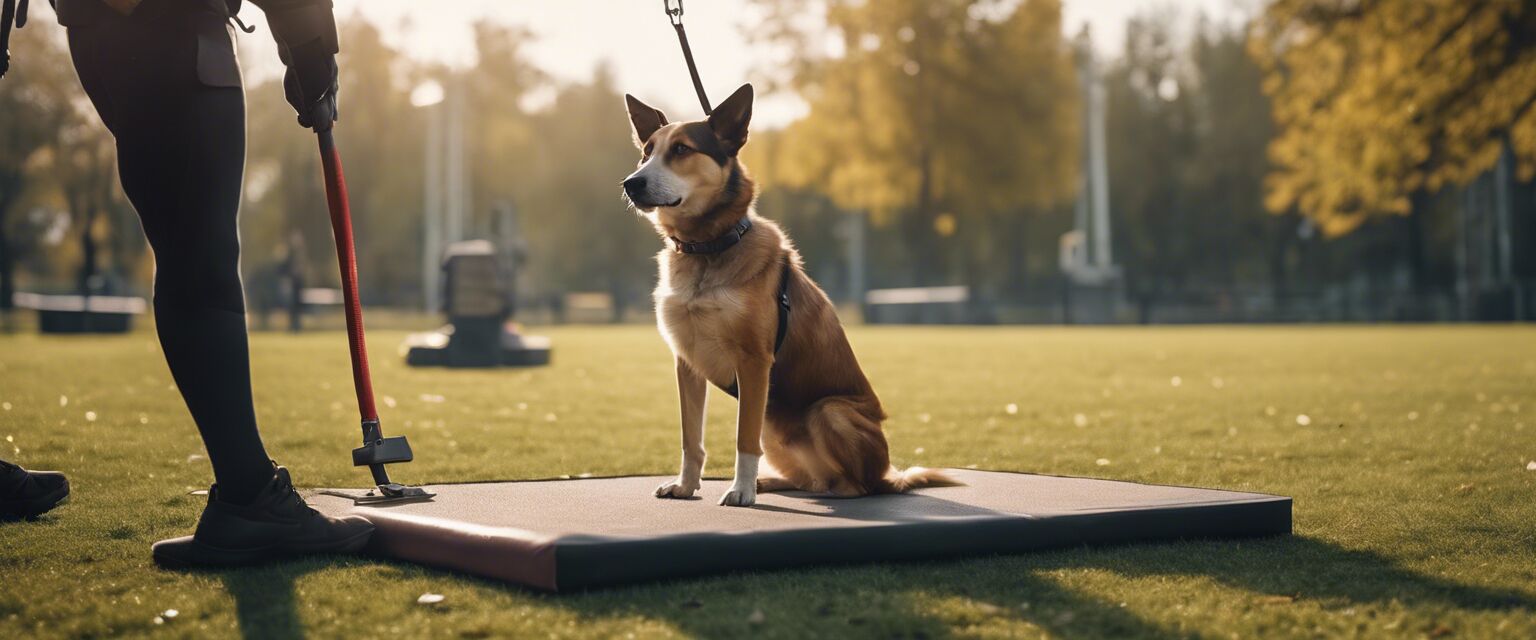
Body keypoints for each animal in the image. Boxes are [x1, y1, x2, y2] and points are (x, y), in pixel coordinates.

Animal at [617, 84, 952, 506]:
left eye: (681, 150)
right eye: (646, 152)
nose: (631, 183)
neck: (707, 249)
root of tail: (888, 474)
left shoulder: (754, 362)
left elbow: (743, 440)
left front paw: (740, 491)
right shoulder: (686, 364)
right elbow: (690, 438)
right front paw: (687, 485)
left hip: (828, 410)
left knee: (856, 486)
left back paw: (827, 492)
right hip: (774, 423)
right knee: (809, 479)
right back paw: (774, 482)